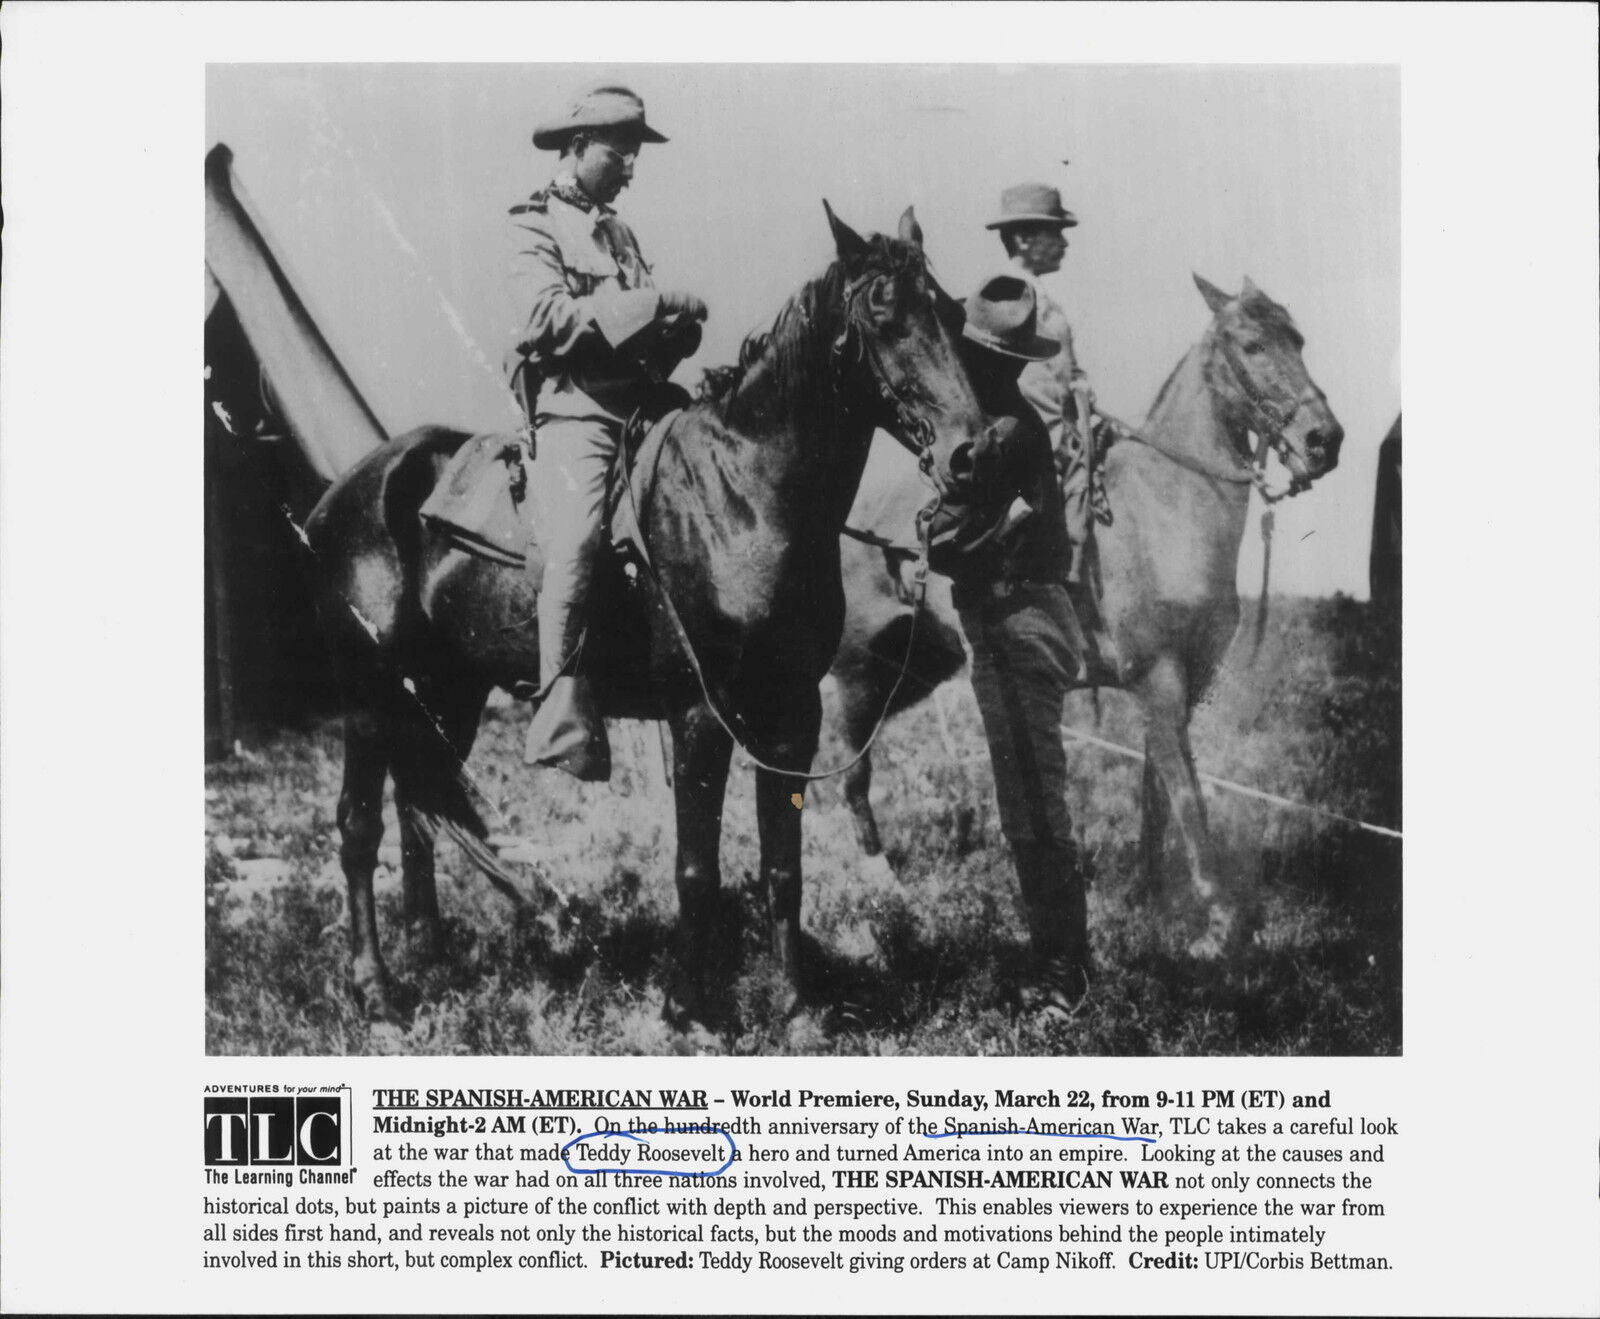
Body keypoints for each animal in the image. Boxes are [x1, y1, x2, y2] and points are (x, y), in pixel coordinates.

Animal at [304, 208, 992, 1030]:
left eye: (952, 314)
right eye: (884, 315)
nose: (972, 454)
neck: (745, 493)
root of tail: (346, 492)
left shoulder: (792, 713)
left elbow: (783, 865)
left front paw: (796, 1006)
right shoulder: (700, 714)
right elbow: (697, 866)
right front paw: (689, 1007)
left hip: (446, 692)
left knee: (420, 806)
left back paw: (437, 956)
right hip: (372, 697)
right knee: (360, 824)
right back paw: (377, 985)